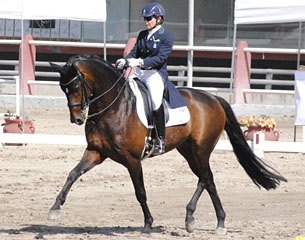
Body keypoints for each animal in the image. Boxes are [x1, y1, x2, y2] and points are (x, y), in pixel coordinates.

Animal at [48, 54, 286, 234]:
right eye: (62, 88)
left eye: (76, 86)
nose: (77, 119)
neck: (114, 107)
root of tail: (213, 98)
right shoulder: (96, 152)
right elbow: (73, 174)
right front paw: (55, 208)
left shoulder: (132, 160)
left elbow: (140, 191)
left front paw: (148, 224)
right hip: (188, 151)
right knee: (206, 179)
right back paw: (206, 220)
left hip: (201, 149)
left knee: (206, 178)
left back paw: (205, 220)